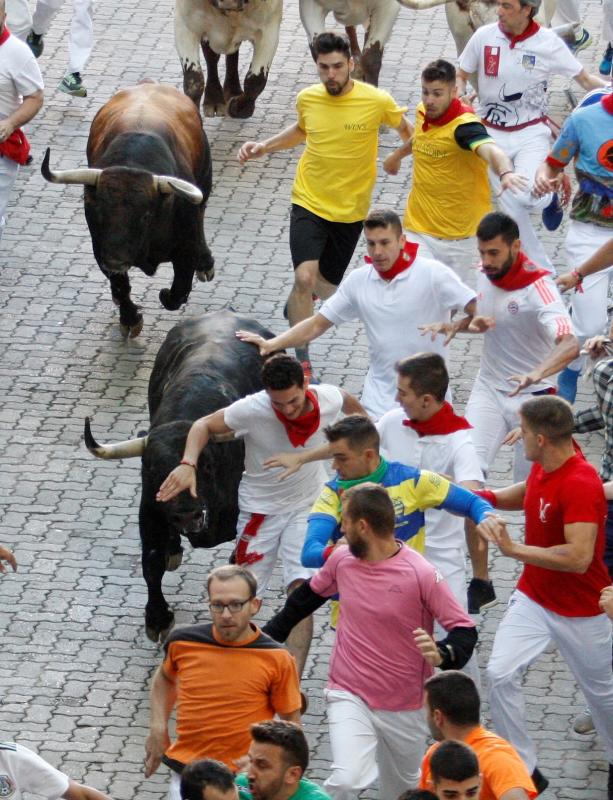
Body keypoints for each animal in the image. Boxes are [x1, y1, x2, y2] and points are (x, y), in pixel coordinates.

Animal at [82, 310, 274, 640]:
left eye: (206, 465)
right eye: (152, 469)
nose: (186, 514)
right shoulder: (150, 509)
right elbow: (152, 561)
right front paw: (157, 618)